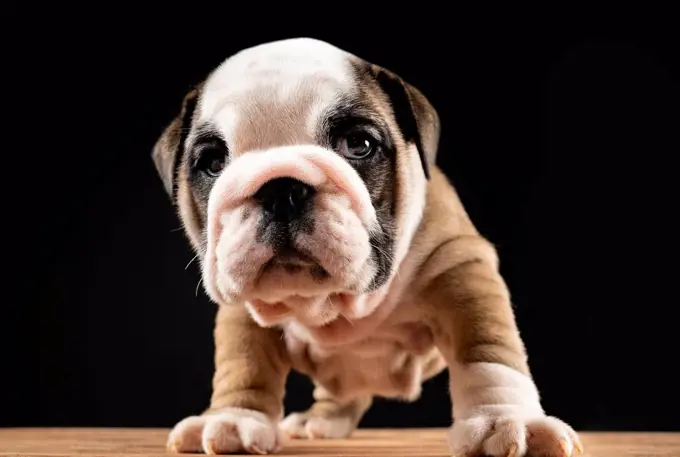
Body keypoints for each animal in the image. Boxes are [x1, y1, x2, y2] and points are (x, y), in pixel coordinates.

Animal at [151, 37, 580, 454]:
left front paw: (503, 419)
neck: (338, 305)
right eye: (212, 162)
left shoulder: (461, 269)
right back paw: (320, 419)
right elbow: (243, 361)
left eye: (359, 144)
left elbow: (488, 349)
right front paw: (236, 417)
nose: (280, 188)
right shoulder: (243, 309)